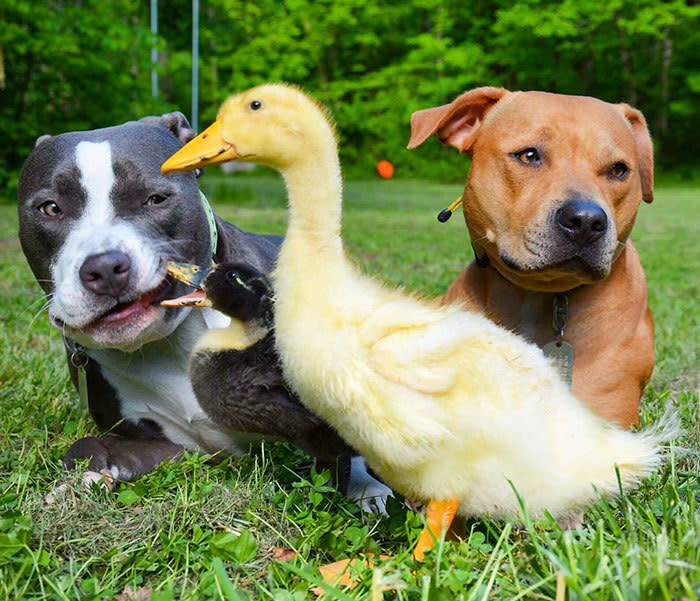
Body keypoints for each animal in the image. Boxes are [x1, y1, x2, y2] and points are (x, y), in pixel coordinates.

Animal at [17, 111, 388, 506]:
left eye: (156, 199)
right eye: (50, 208)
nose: (104, 267)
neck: (168, 346)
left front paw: (367, 489)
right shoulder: (161, 444)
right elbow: (89, 445)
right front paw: (74, 483)